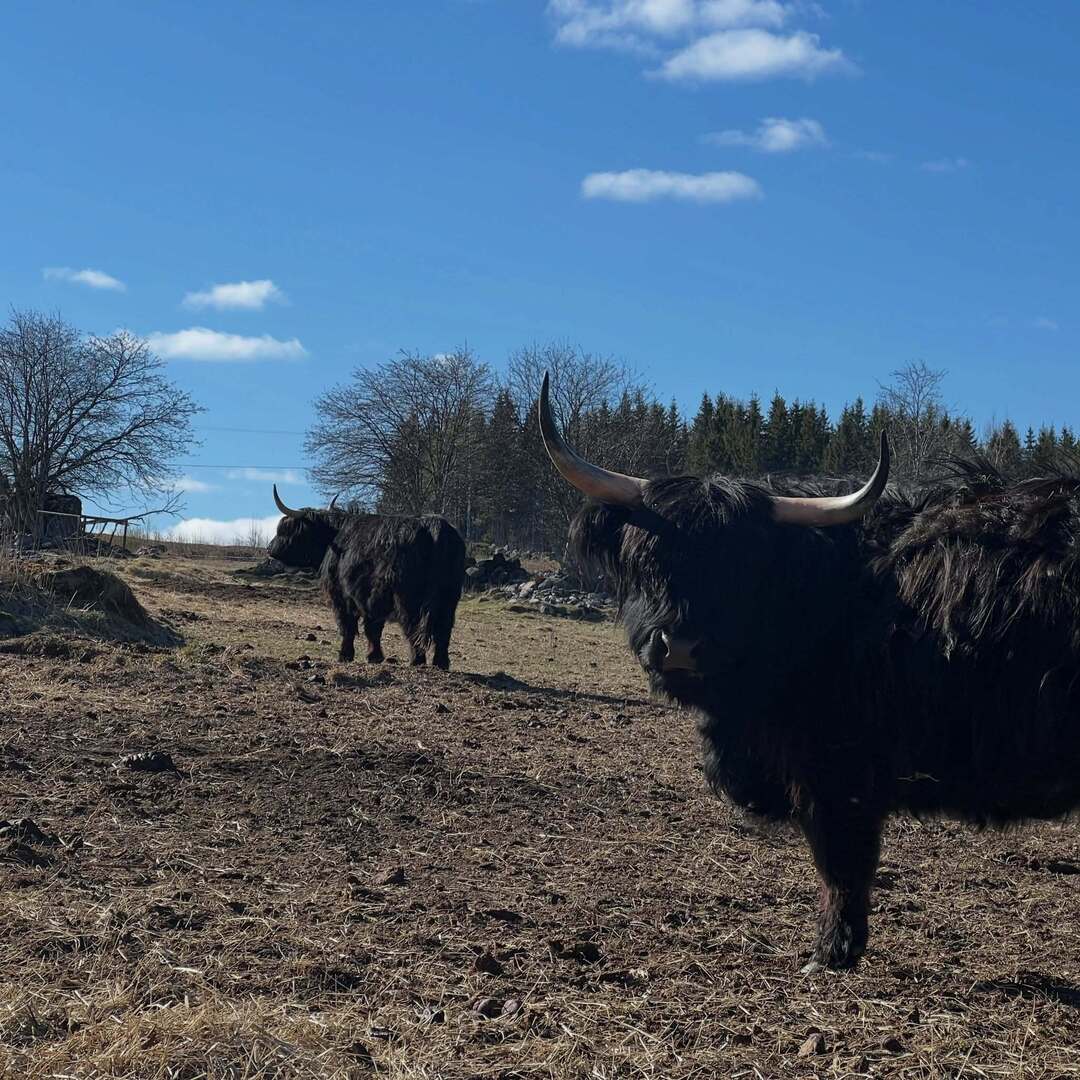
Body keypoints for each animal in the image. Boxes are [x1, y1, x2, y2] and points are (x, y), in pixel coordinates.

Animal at [267, 488, 466, 670]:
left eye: (285, 530)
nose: (269, 548)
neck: (334, 537)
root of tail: (435, 526)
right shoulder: (370, 597)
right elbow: (373, 628)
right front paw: (374, 656)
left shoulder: (342, 595)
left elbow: (348, 626)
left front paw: (345, 655)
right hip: (449, 597)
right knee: (444, 629)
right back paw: (441, 663)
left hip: (409, 598)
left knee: (414, 625)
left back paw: (417, 660)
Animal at [539, 371, 1080, 971]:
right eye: (647, 554)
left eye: (743, 568)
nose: (679, 646)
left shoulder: (836, 768)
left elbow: (840, 861)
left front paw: (831, 951)